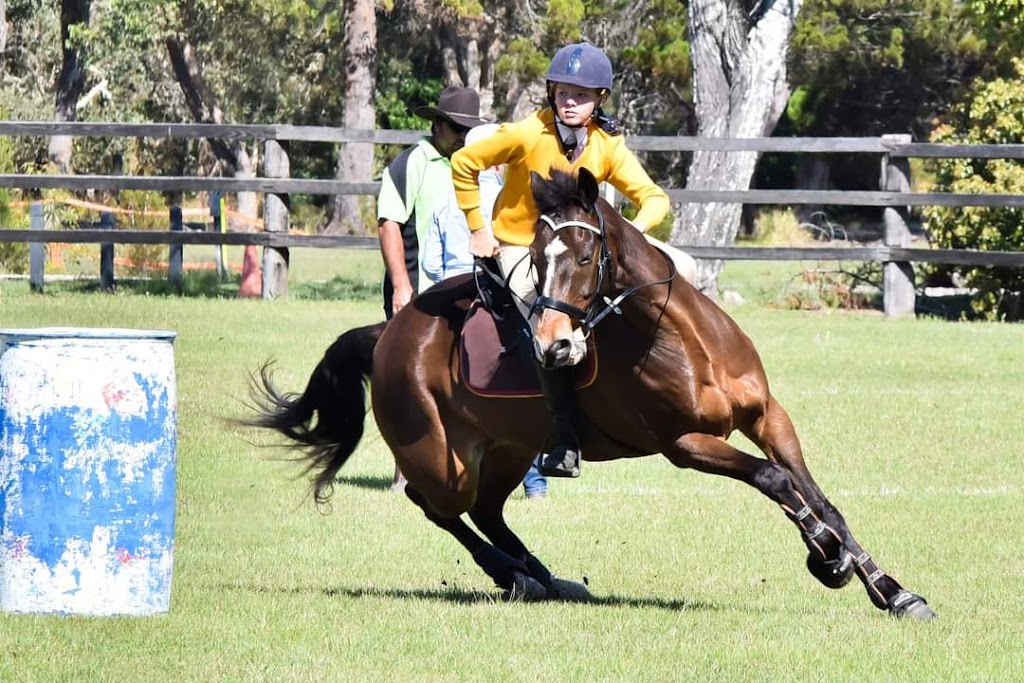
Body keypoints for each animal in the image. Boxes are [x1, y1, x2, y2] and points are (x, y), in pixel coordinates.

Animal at [247, 167, 937, 622]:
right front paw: (826, 560)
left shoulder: (769, 418)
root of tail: (388, 332)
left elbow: (817, 495)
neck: (684, 342)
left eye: (584, 256)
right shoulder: (685, 444)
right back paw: (513, 575)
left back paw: (542, 577)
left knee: (488, 510)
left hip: (507, 448)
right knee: (437, 504)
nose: (553, 345)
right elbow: (776, 482)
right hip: (443, 454)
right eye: (534, 258)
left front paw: (891, 590)